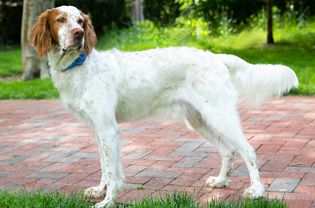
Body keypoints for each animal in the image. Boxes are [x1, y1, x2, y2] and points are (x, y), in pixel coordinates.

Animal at [29, 5, 298, 207]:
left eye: (80, 21)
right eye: (61, 20)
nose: (78, 34)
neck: (80, 66)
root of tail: (215, 56)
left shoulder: (108, 129)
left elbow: (113, 171)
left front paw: (107, 201)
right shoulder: (98, 129)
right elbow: (104, 165)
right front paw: (99, 190)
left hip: (220, 115)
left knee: (248, 150)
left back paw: (257, 191)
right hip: (200, 119)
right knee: (228, 150)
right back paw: (221, 182)